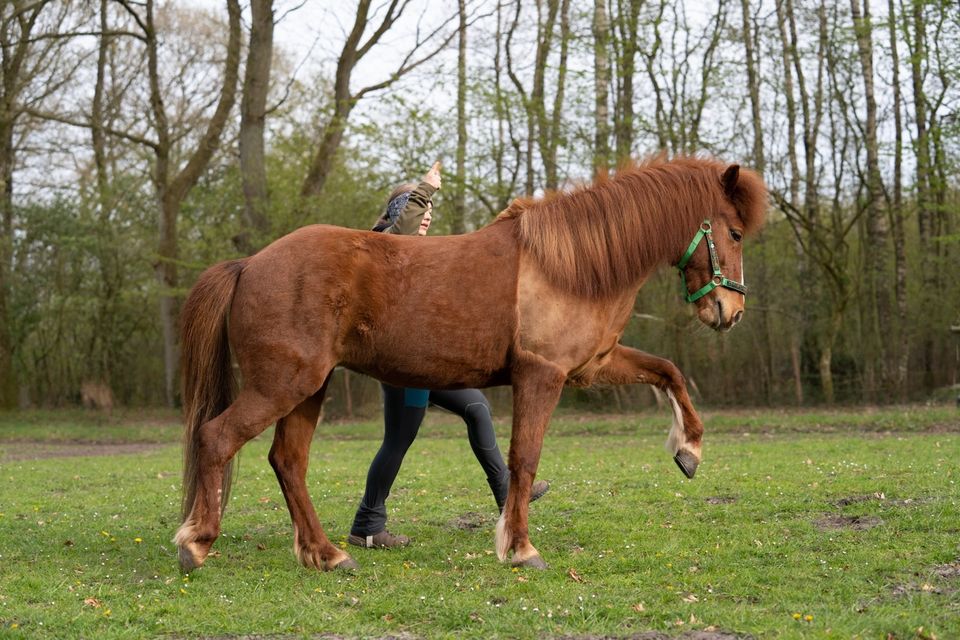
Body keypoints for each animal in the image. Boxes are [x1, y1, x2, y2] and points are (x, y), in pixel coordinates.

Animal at [176, 155, 768, 568]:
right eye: (735, 232)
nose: (731, 310)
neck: (570, 265)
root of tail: (250, 263)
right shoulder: (542, 375)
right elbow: (524, 458)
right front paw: (520, 548)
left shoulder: (592, 366)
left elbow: (668, 371)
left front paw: (689, 450)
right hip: (283, 385)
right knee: (217, 438)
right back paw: (197, 543)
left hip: (308, 388)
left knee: (288, 462)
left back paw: (327, 555)